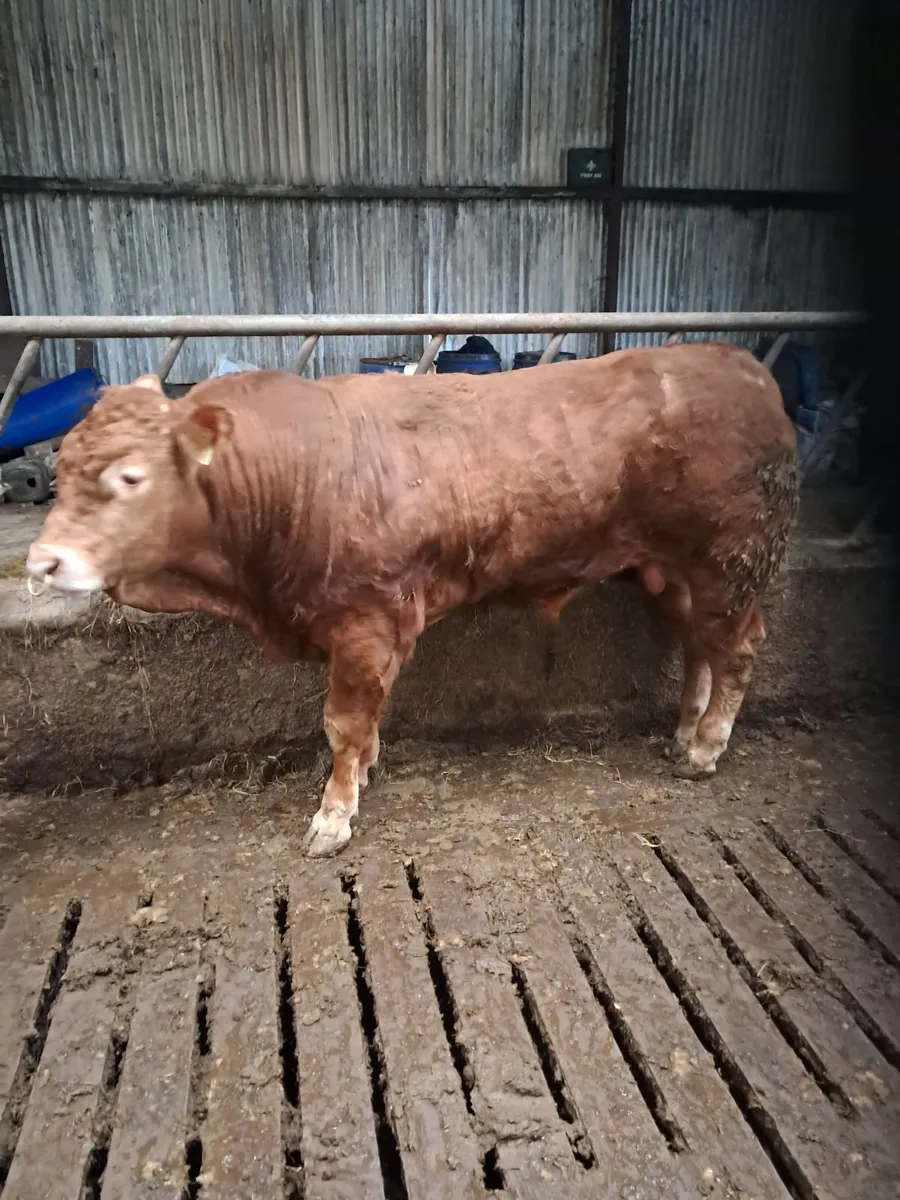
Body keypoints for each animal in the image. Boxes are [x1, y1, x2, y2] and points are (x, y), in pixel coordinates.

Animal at [25, 342, 798, 857]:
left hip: (729, 560)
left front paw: (334, 815)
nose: (40, 561)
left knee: (737, 647)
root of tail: (745, 367)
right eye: (61, 470)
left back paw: (706, 748)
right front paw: (363, 775)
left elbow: (343, 722)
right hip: (674, 572)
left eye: (130, 477)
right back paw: (683, 733)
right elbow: (366, 721)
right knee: (699, 645)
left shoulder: (365, 620)